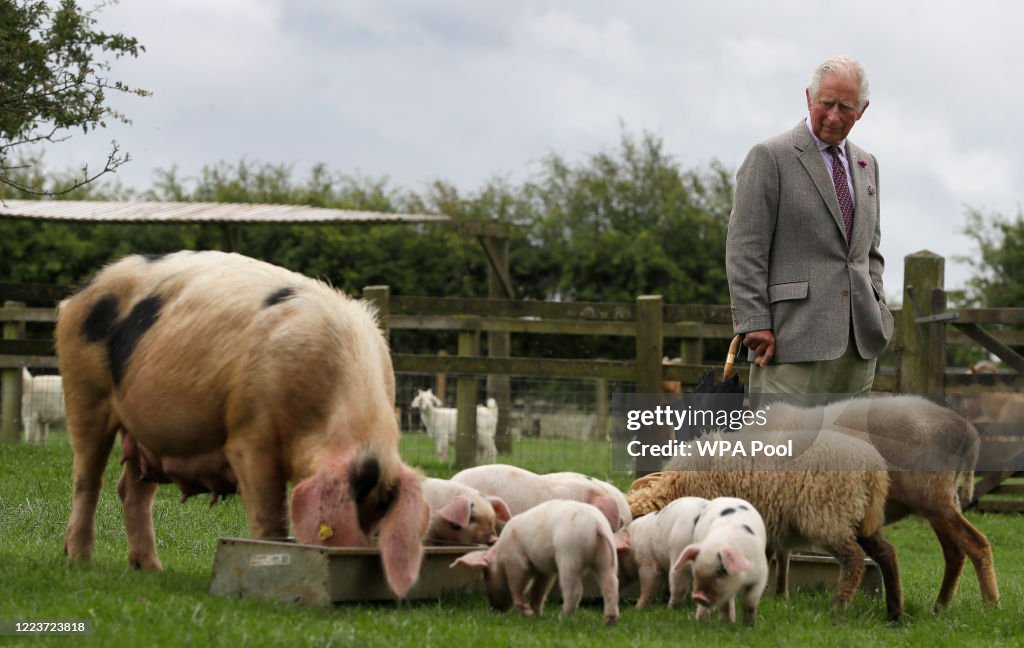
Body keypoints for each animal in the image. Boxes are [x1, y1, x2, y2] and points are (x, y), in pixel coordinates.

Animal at [54, 251, 430, 597]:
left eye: (379, 518)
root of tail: (82, 291)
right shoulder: (250, 435)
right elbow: (270, 514)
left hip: (143, 432)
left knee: (132, 490)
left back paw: (150, 569)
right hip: (84, 390)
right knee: (87, 479)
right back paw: (79, 560)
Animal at [622, 427, 905, 618]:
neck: (678, 488)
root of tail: (873, 467)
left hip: (828, 516)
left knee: (854, 559)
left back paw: (838, 605)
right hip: (858, 518)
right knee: (887, 554)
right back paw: (895, 611)